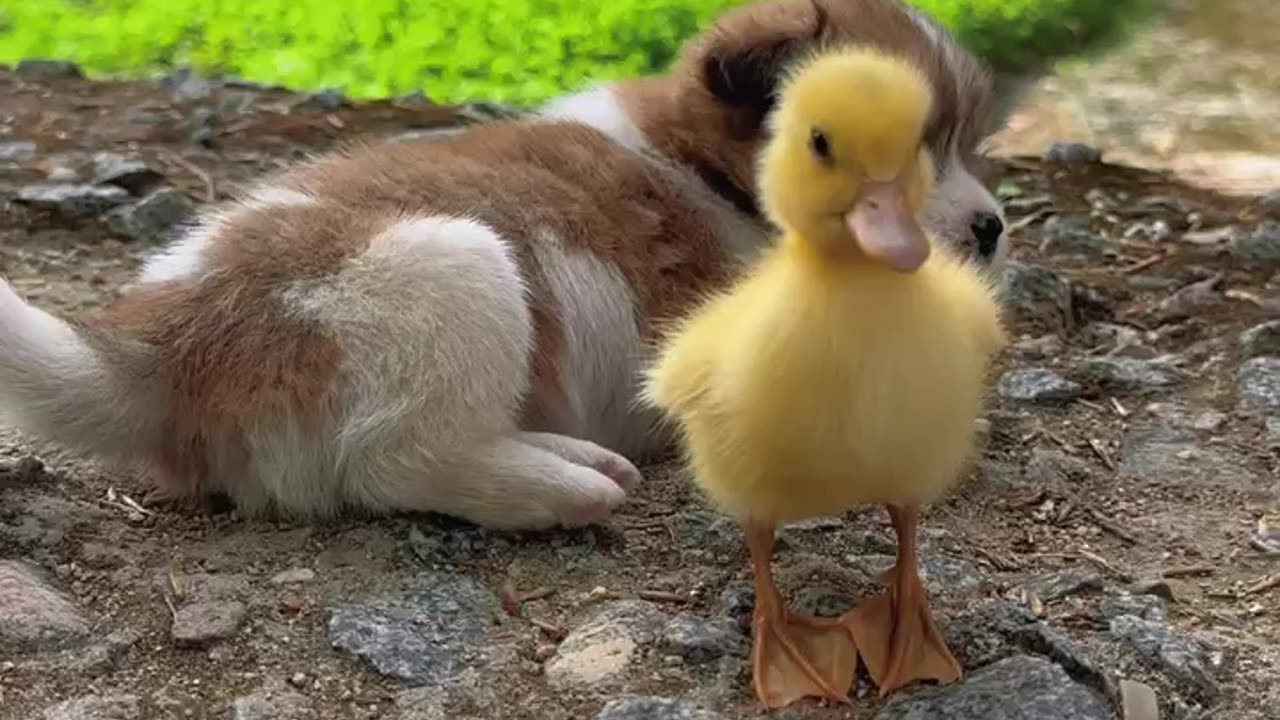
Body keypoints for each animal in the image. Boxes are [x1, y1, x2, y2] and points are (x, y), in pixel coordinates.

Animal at [0, 0, 1008, 527]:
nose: (995, 229)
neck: (705, 168)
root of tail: (164, 344)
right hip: (460, 263)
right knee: (398, 463)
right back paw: (564, 488)